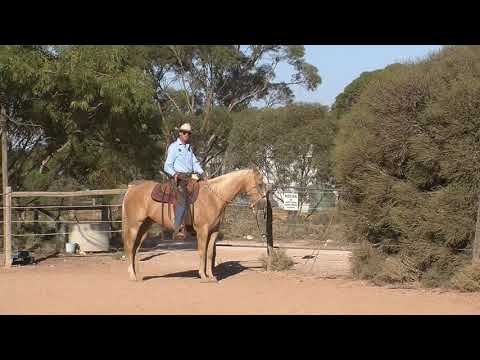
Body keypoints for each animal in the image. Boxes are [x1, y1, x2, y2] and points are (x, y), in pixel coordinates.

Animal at [121, 167, 266, 282]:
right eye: (260, 183)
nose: (262, 204)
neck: (213, 197)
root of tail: (131, 190)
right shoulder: (202, 230)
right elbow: (202, 252)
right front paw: (203, 276)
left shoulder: (214, 231)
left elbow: (209, 253)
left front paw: (211, 276)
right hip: (134, 226)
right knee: (130, 247)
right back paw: (132, 276)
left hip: (145, 226)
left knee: (135, 249)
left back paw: (137, 275)